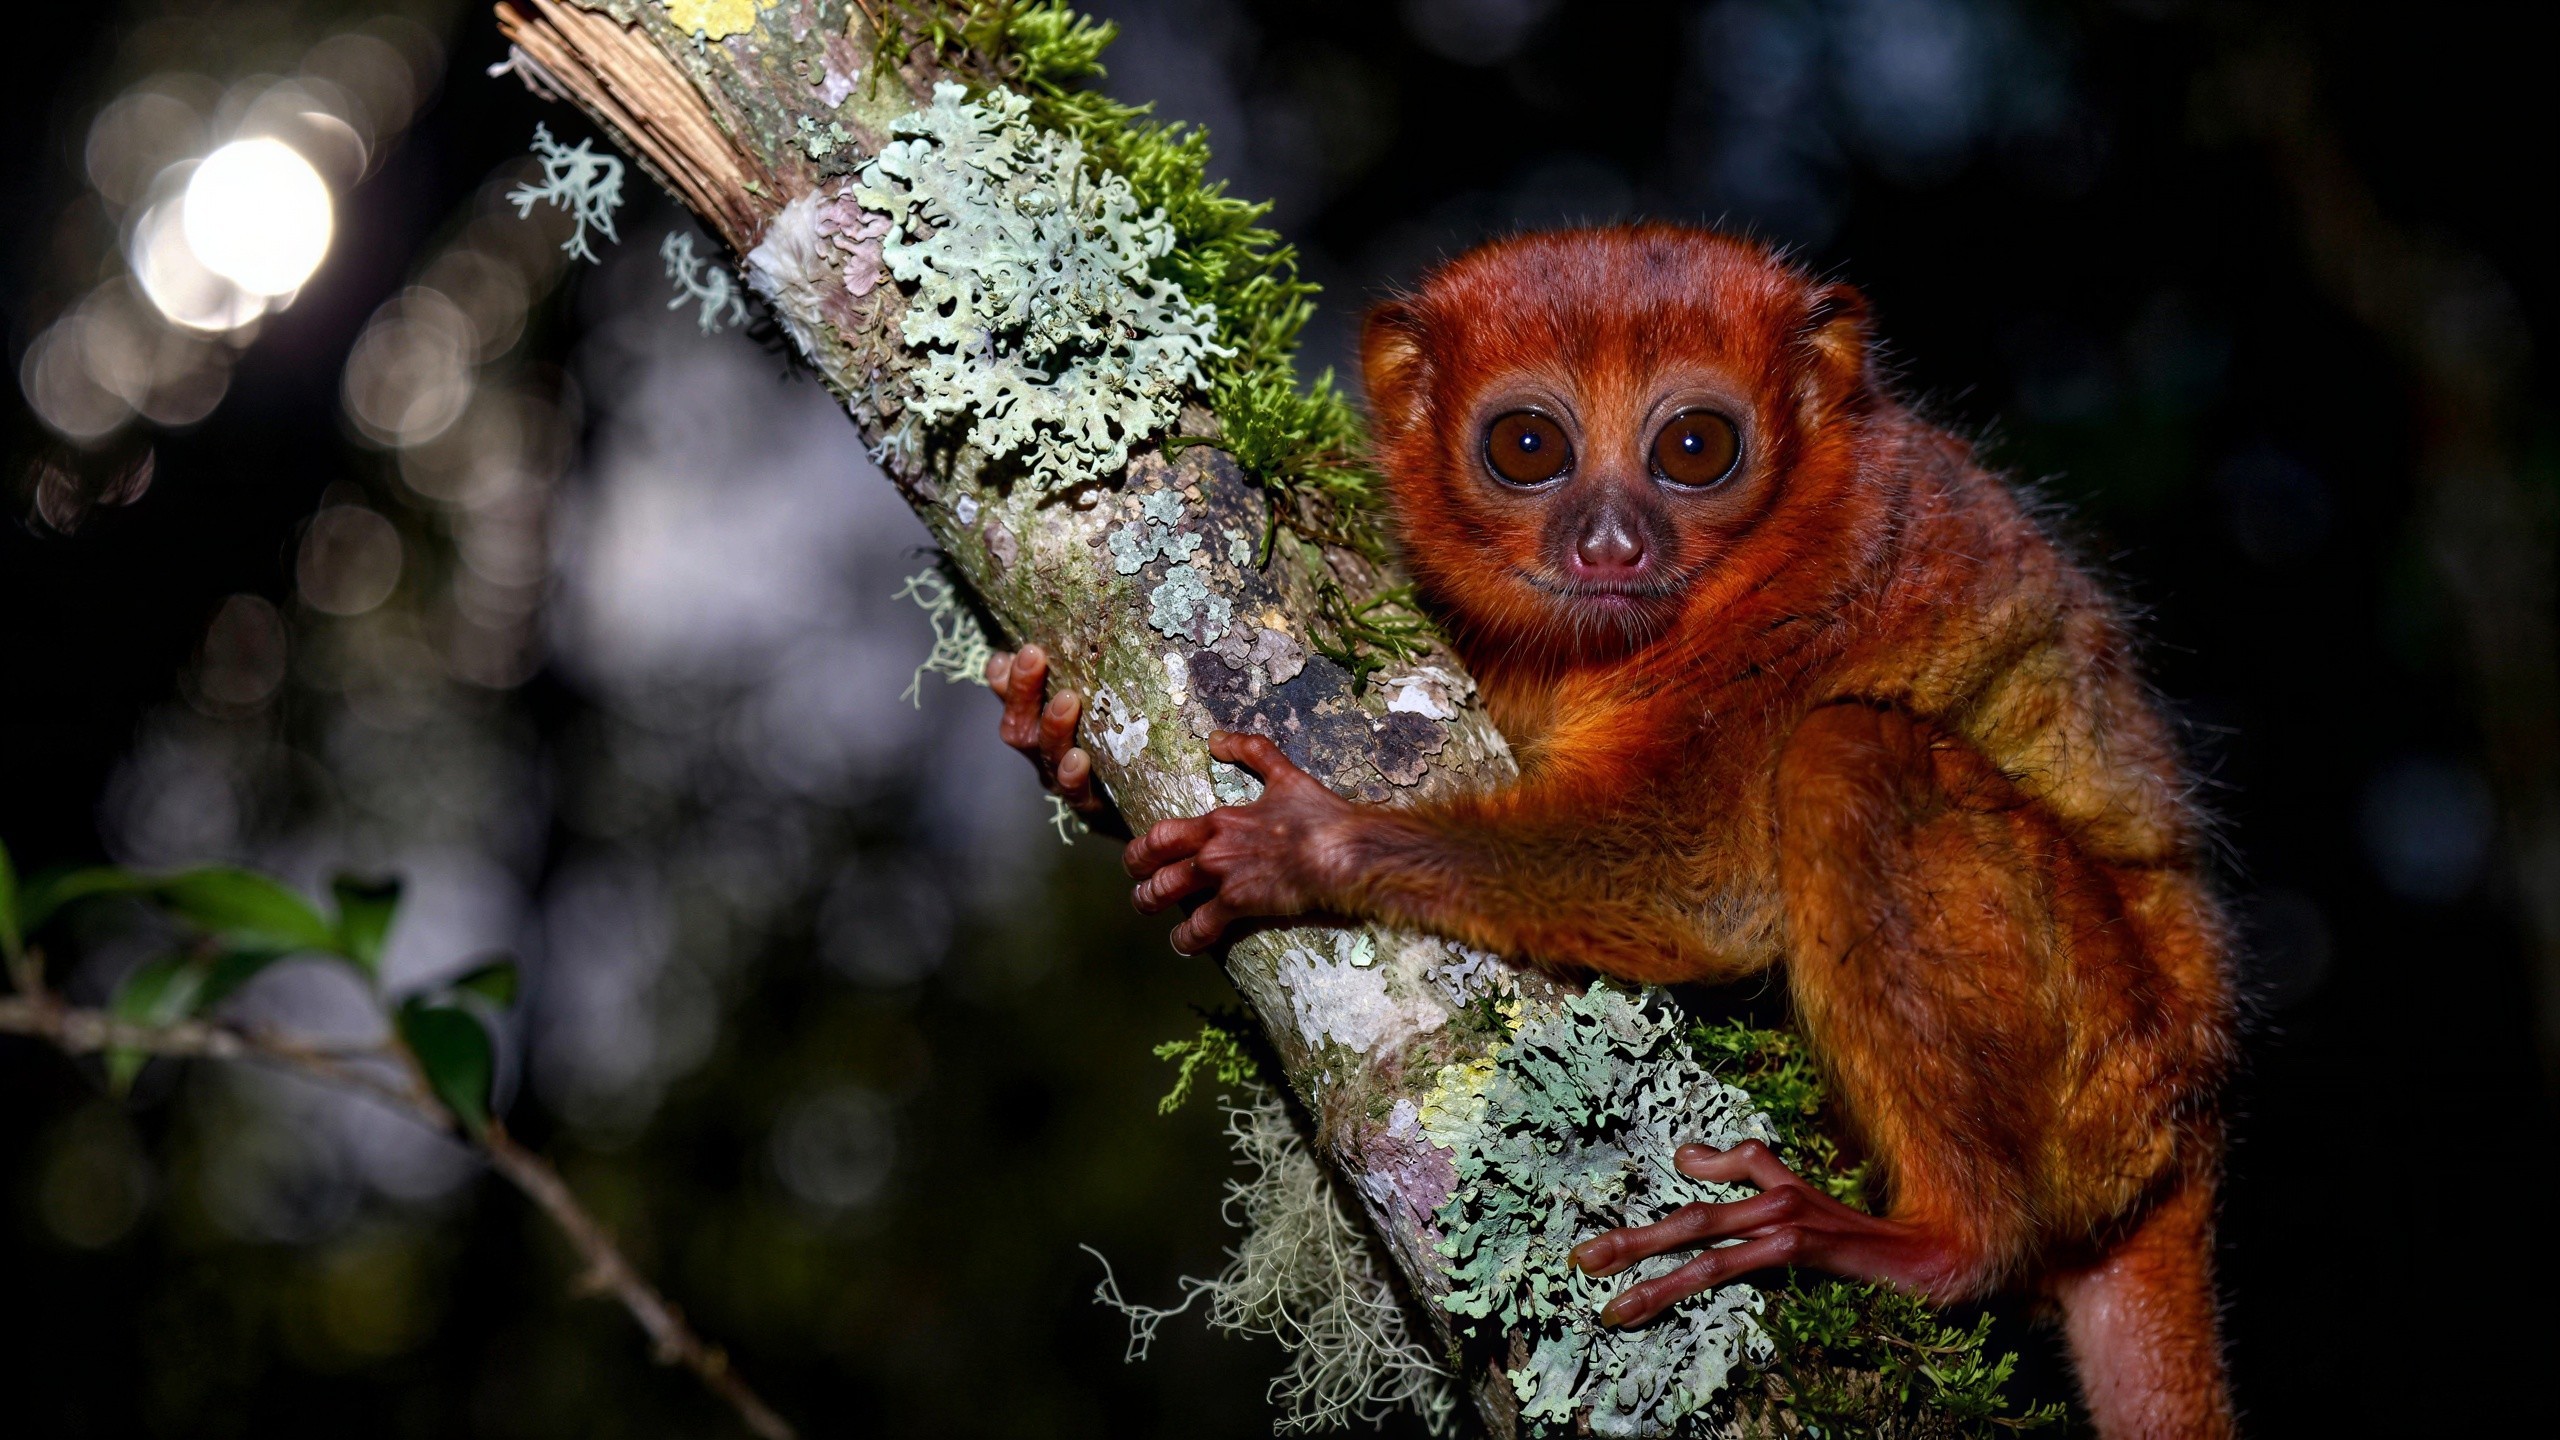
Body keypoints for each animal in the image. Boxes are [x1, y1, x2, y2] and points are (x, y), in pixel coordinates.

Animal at [987, 225, 2237, 1438]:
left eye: (1693, 447)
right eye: (1528, 445)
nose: (1609, 547)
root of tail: (2186, 1130)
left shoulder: (1818, 596)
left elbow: (1698, 881)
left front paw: (1311, 845)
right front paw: (1058, 747)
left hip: (2103, 1059)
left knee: (1845, 757)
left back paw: (1933, 1241)